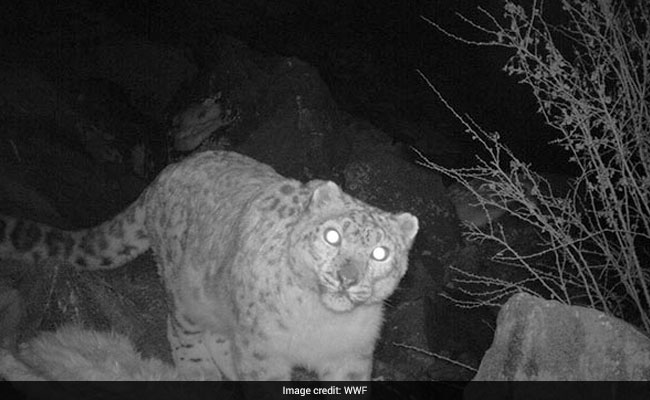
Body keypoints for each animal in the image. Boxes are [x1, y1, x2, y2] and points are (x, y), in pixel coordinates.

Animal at [0, 150, 419, 380]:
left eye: (380, 253)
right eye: (332, 236)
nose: (347, 278)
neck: (321, 321)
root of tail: (167, 172)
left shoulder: (350, 357)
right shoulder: (262, 350)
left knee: (220, 336)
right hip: (185, 291)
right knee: (181, 331)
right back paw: (199, 373)